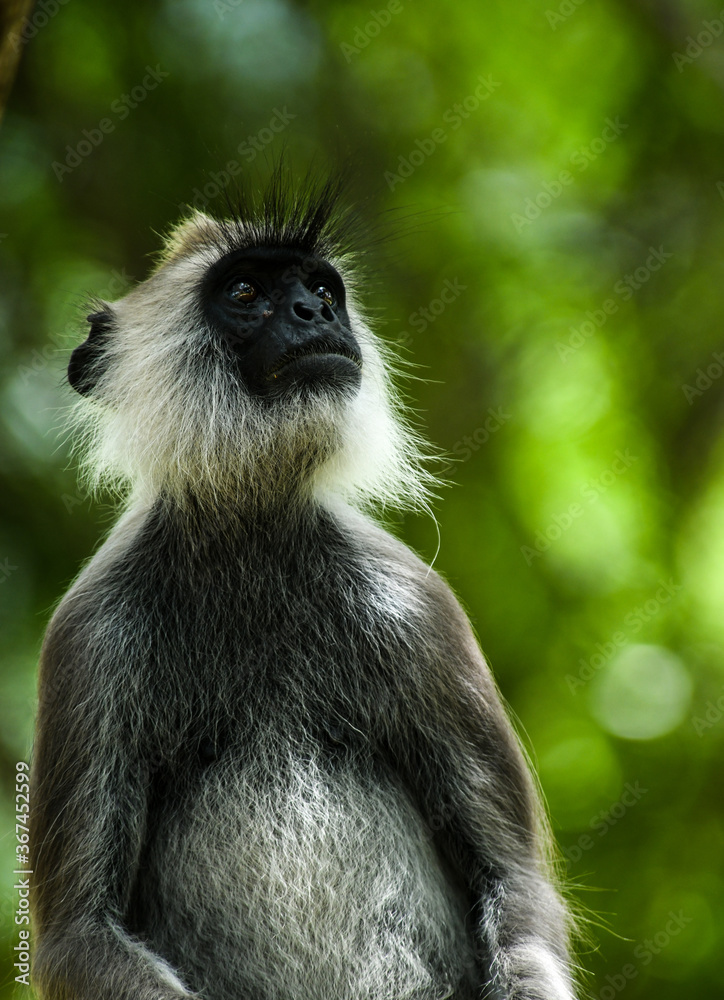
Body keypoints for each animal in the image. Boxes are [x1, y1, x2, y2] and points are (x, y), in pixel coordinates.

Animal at [30, 170, 578, 1000]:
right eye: (247, 290)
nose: (313, 313)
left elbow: (514, 880)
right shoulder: (88, 637)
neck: (251, 533)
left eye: (321, 289)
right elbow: (77, 932)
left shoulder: (413, 606)